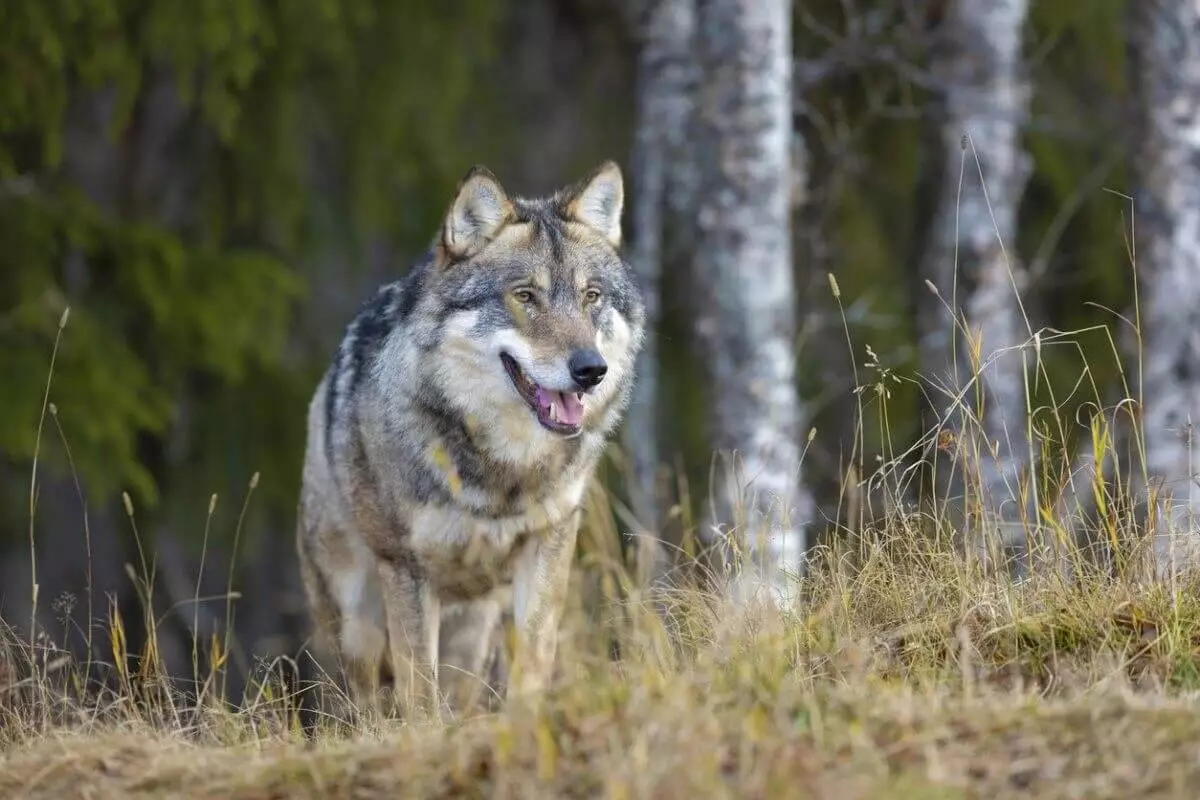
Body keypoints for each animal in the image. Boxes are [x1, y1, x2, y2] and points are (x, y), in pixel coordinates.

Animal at [291, 159, 648, 714]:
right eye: (525, 296)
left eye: (591, 296)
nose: (591, 370)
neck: (504, 470)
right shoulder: (407, 569)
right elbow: (418, 689)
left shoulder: (549, 543)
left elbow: (535, 656)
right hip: (356, 623)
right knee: (361, 700)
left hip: (472, 633)